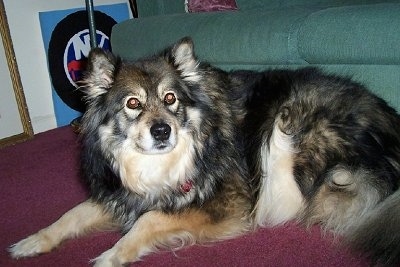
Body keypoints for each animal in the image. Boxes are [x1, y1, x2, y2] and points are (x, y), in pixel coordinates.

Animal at [8, 37, 253, 266]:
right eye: (133, 103)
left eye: (170, 98)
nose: (162, 131)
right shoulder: (118, 194)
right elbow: (72, 214)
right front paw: (34, 241)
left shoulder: (227, 203)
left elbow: (149, 218)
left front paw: (111, 256)